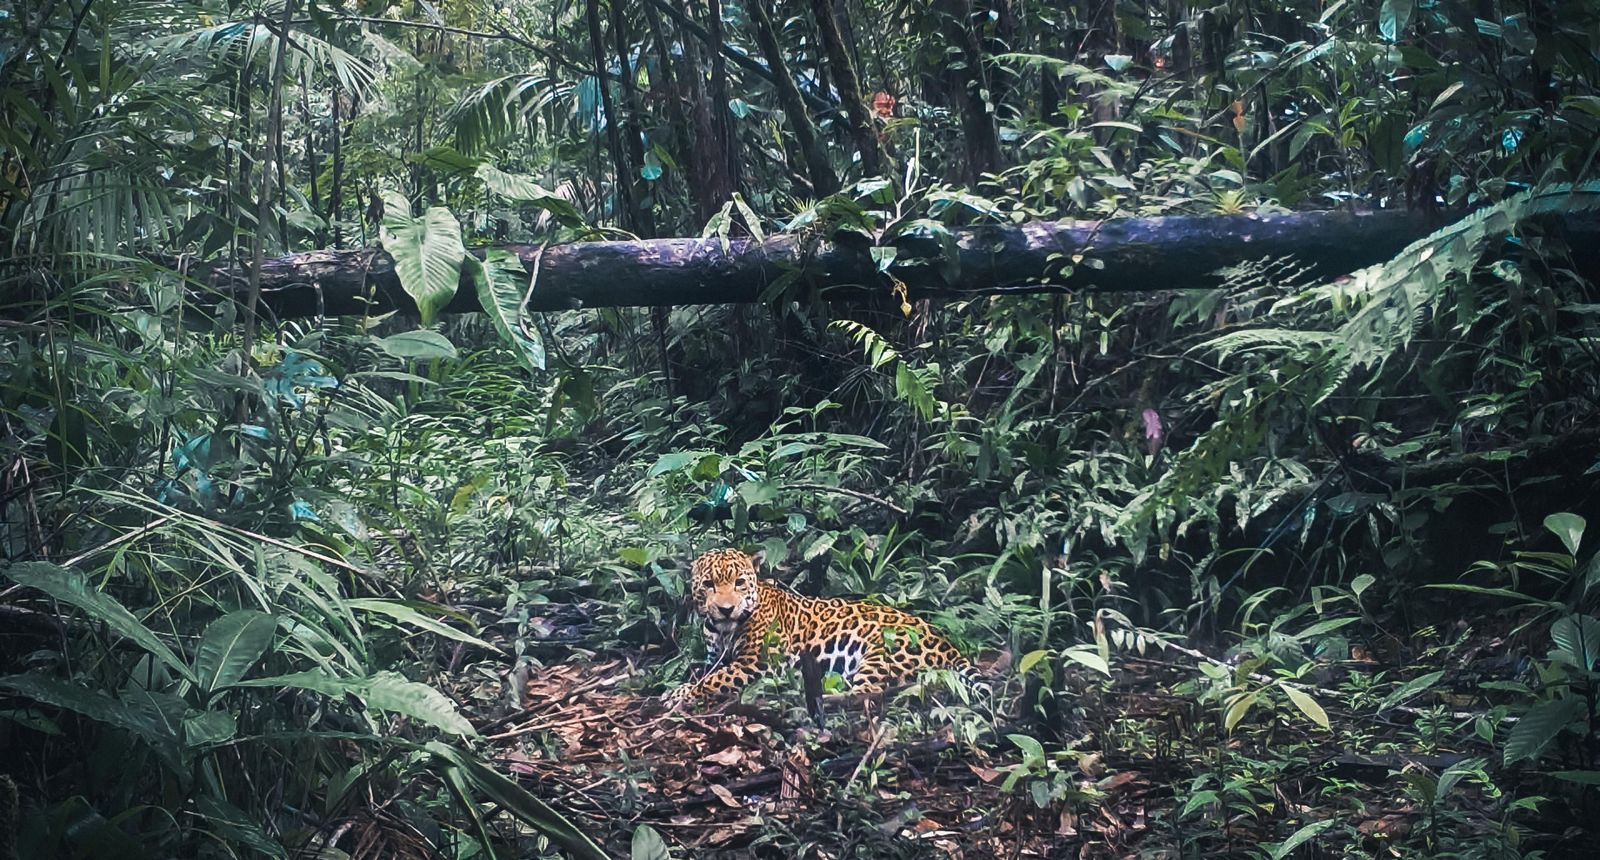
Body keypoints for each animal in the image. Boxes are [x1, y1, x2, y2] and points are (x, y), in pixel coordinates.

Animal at [661, 547, 980, 708]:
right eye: (708, 584)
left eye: (739, 582)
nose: (726, 609)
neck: (722, 629)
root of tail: (946, 643)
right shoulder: (714, 658)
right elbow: (706, 674)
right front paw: (680, 689)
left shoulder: (758, 662)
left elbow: (713, 680)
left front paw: (679, 695)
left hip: (882, 651)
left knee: (867, 693)